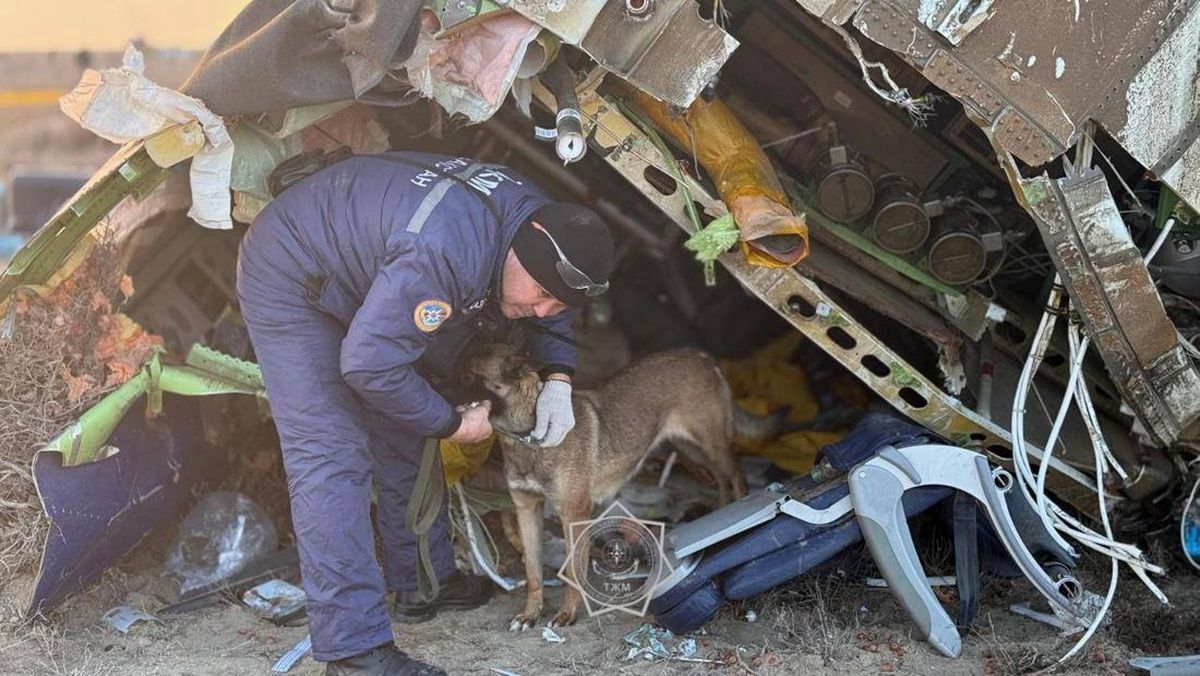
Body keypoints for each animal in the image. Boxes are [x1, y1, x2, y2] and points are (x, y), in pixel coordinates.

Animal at [463, 345, 744, 633]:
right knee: (720, 479)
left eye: (470, 373)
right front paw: (530, 614)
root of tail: (700, 355)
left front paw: (567, 614)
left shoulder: (573, 513)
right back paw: (723, 511)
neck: (528, 438)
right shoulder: (526, 508)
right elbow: (533, 571)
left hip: (711, 445)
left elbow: (573, 570)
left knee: (736, 474)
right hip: (689, 448)